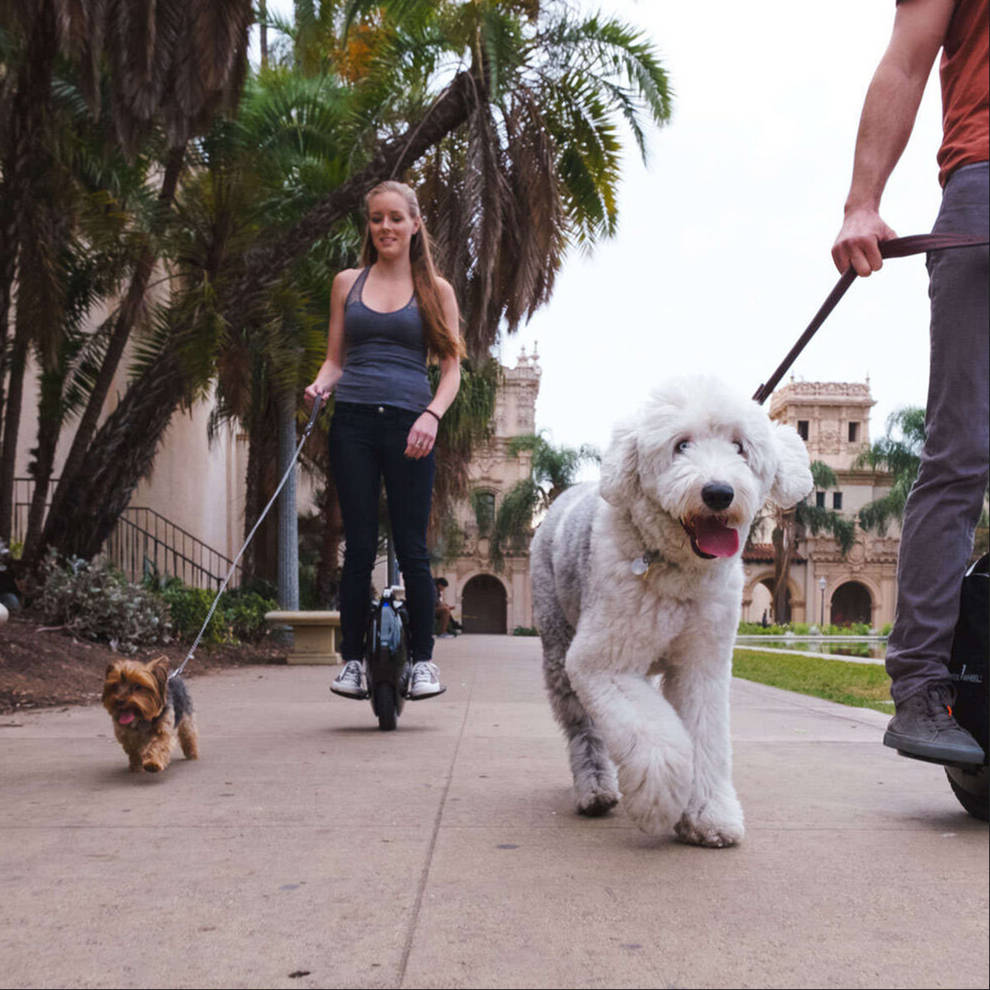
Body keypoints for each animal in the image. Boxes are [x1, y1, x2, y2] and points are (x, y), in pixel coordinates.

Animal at [536, 376, 812, 848]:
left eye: (739, 446)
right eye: (681, 445)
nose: (718, 493)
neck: (678, 574)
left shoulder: (701, 663)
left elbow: (703, 735)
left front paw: (708, 816)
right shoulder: (601, 663)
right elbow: (654, 738)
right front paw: (660, 802)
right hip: (557, 643)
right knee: (583, 726)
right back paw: (596, 789)